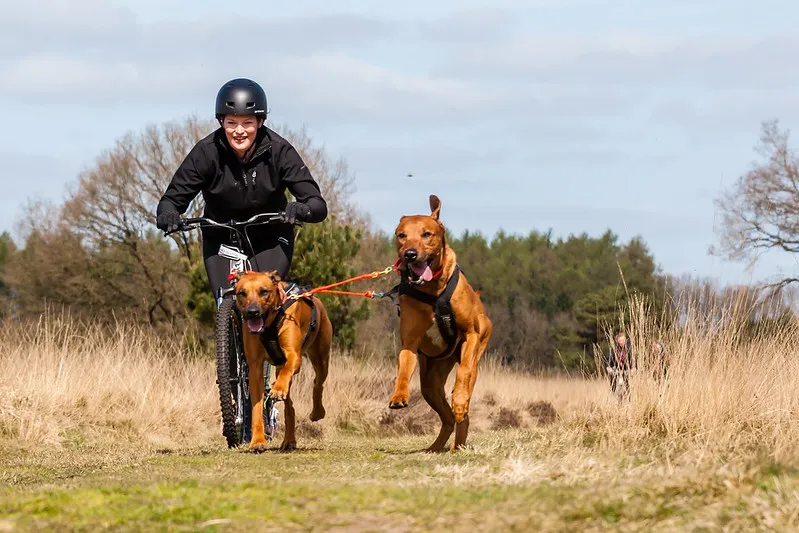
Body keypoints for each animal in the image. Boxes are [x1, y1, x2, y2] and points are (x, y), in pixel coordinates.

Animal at [233, 270, 332, 448]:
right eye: (242, 293)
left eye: (264, 291)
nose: (252, 312)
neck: (269, 325)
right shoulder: (255, 367)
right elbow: (256, 407)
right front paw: (257, 441)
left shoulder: (293, 355)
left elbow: (288, 368)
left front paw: (278, 389)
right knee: (289, 406)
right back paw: (289, 440)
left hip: (321, 357)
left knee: (317, 383)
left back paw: (317, 412)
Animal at [390, 193, 494, 450]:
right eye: (401, 235)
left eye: (427, 234)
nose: (409, 254)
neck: (433, 291)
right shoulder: (410, 341)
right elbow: (403, 368)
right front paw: (398, 396)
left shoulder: (471, 334)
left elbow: (463, 372)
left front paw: (459, 398)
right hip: (430, 382)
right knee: (447, 417)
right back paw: (437, 447)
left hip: (479, 346)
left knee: (463, 404)